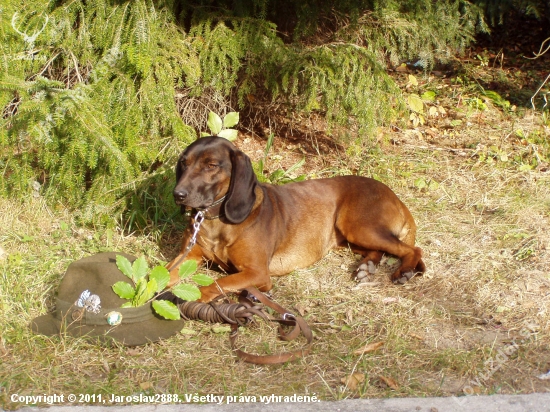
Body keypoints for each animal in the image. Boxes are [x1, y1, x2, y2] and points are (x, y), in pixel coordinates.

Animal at [168, 137, 426, 300]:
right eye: (184, 162)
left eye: (211, 165)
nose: (177, 194)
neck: (214, 221)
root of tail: (394, 196)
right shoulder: (188, 256)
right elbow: (163, 273)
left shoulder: (257, 274)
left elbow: (217, 284)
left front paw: (190, 300)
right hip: (349, 238)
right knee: (380, 250)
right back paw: (366, 267)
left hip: (358, 226)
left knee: (413, 249)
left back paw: (403, 271)